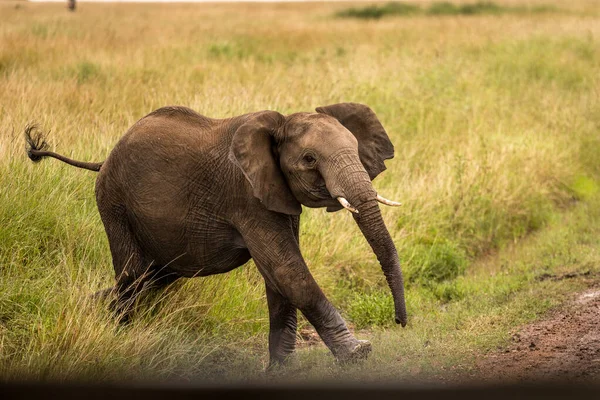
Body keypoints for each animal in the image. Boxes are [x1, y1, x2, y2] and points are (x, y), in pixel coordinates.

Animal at [24, 102, 408, 366]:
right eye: (310, 159)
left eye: (356, 151)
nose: (401, 322)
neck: (279, 124)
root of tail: (104, 159)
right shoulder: (244, 194)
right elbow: (287, 270)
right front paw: (358, 353)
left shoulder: (274, 194)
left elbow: (277, 278)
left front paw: (281, 371)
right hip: (114, 202)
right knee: (134, 277)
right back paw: (116, 333)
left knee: (151, 277)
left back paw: (88, 306)